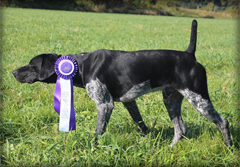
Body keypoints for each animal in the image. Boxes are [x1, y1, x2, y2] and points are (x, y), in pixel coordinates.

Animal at [12, 19, 232, 147]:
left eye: (31, 65)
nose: (13, 72)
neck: (81, 65)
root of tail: (189, 55)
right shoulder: (129, 101)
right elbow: (142, 126)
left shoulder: (105, 104)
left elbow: (98, 132)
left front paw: (93, 149)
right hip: (171, 99)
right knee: (180, 129)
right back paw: (170, 149)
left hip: (198, 98)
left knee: (222, 122)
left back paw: (229, 147)